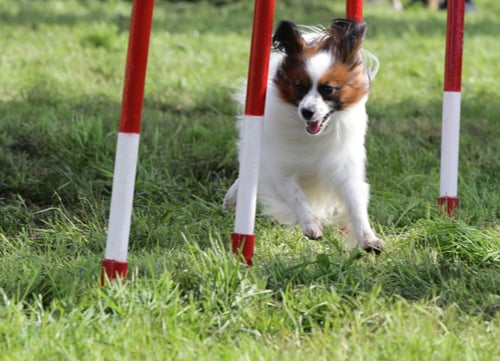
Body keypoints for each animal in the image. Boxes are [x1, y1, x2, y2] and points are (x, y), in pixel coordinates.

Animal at [223, 17, 382, 253]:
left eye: (328, 89)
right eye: (299, 87)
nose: (307, 111)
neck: (315, 136)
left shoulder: (344, 168)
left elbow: (356, 206)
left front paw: (368, 238)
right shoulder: (280, 168)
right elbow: (296, 195)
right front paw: (310, 224)